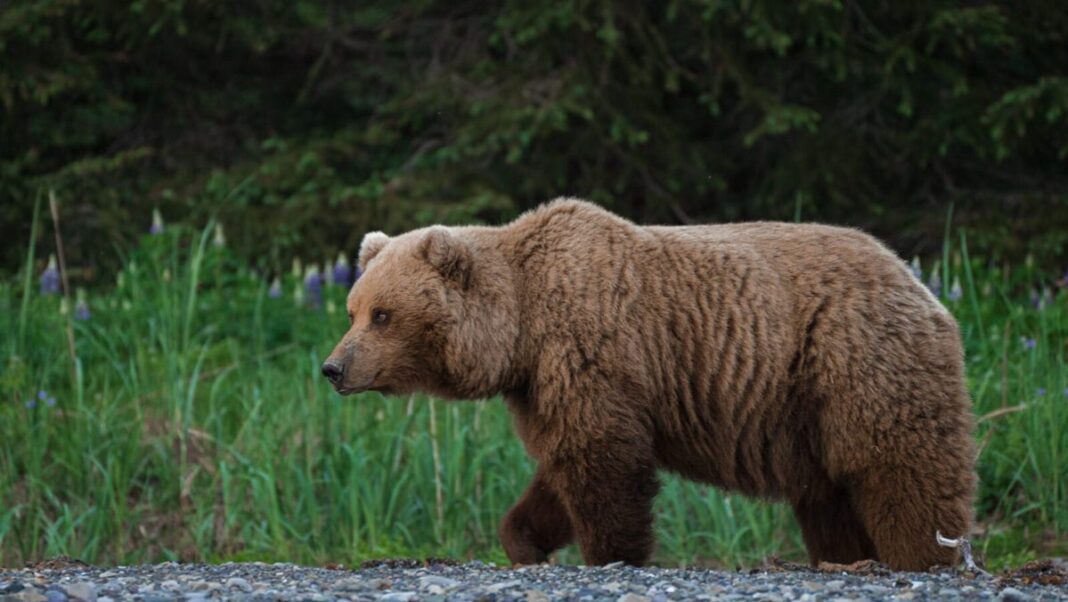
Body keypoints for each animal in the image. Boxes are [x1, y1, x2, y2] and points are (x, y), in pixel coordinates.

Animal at [322, 199, 978, 572]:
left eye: (383, 314)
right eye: (352, 309)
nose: (333, 368)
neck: (522, 328)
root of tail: (917, 282)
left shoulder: (591, 349)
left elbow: (603, 463)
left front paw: (611, 554)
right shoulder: (543, 384)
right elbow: (563, 466)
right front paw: (525, 540)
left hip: (853, 358)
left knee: (897, 462)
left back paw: (921, 556)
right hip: (809, 412)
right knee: (831, 495)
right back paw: (847, 558)